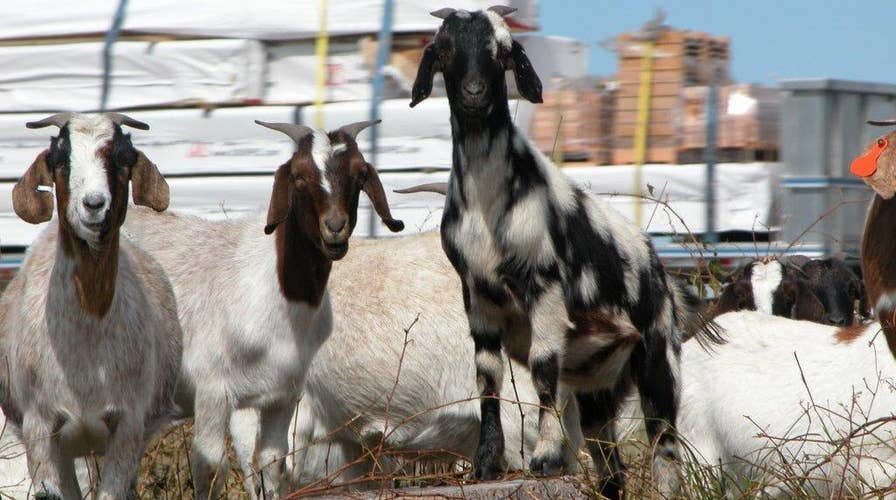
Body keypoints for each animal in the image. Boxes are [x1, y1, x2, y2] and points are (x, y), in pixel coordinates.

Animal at [122, 119, 403, 499]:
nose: (335, 228)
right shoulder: (212, 390)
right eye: (298, 176)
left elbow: (272, 464)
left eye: (360, 173)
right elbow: (211, 469)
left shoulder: (280, 397)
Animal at [408, 7, 721, 496]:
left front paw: (546, 457)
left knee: (665, 451)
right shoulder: (477, 295)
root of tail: (664, 274)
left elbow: (542, 367)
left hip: (658, 362)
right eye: (443, 49)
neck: (487, 204)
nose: (475, 94)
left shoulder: (545, 288)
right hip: (599, 385)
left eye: (502, 51)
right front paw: (485, 463)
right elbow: (487, 377)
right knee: (611, 466)